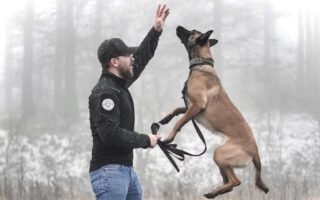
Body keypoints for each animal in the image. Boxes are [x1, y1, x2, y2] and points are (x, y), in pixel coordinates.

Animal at [159, 26, 268, 198]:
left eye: (191, 32)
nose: (178, 27)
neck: (201, 65)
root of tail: (255, 150)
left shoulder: (198, 105)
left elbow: (180, 121)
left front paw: (169, 137)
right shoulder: (190, 105)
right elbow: (178, 110)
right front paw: (166, 118)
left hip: (219, 153)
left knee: (235, 181)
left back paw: (216, 191)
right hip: (221, 160)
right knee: (229, 183)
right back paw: (215, 192)